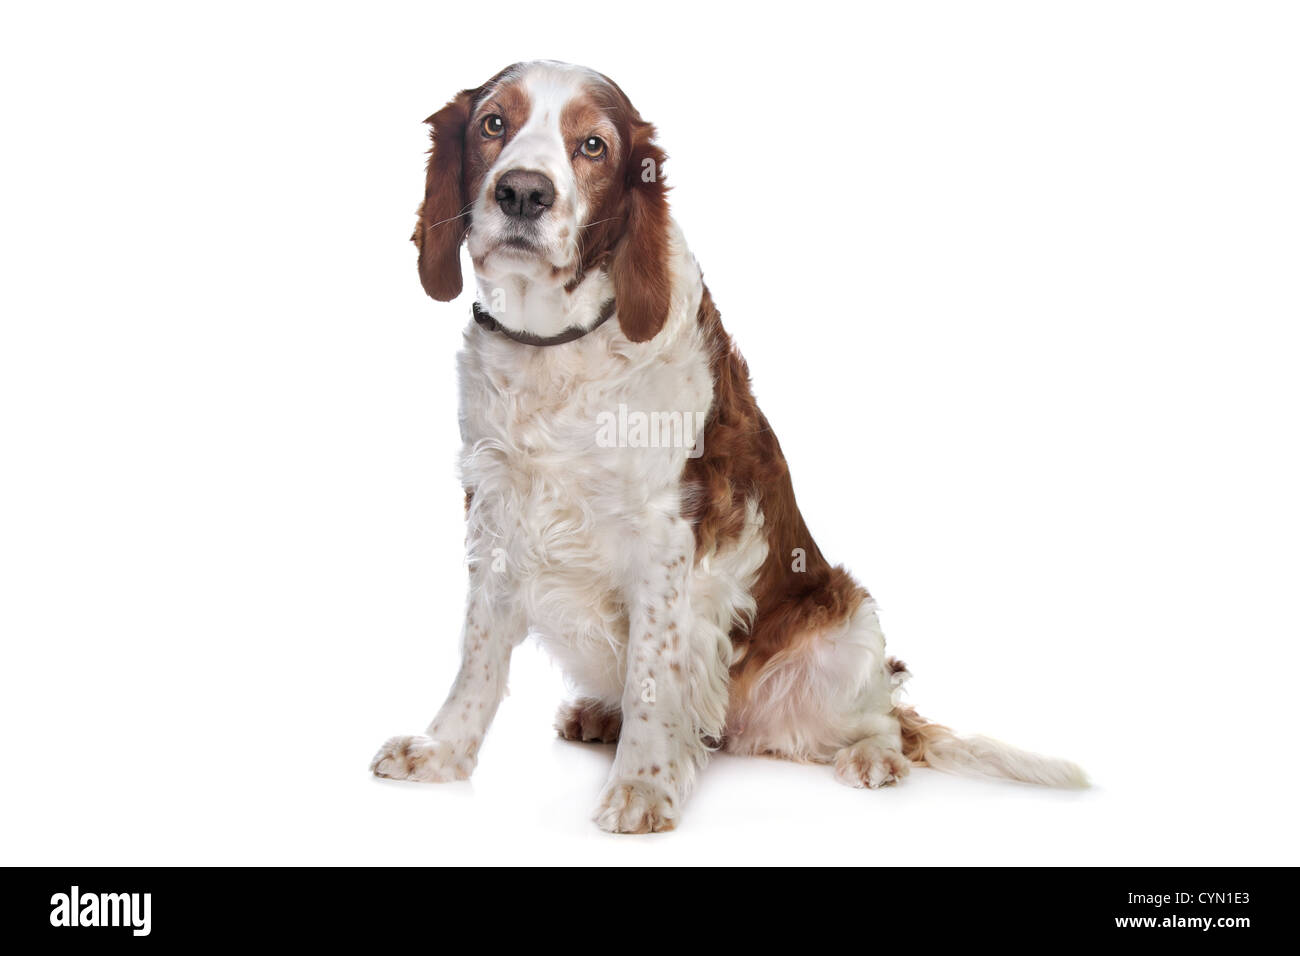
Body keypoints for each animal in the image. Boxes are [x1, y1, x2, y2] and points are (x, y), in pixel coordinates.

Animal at [369, 61, 1086, 832]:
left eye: (593, 146)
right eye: (492, 124)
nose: (523, 192)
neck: (555, 346)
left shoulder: (668, 538)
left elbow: (653, 674)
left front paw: (642, 786)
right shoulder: (497, 509)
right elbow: (477, 659)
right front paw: (442, 752)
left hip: (848, 627)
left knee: (883, 718)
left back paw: (871, 757)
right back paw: (602, 717)